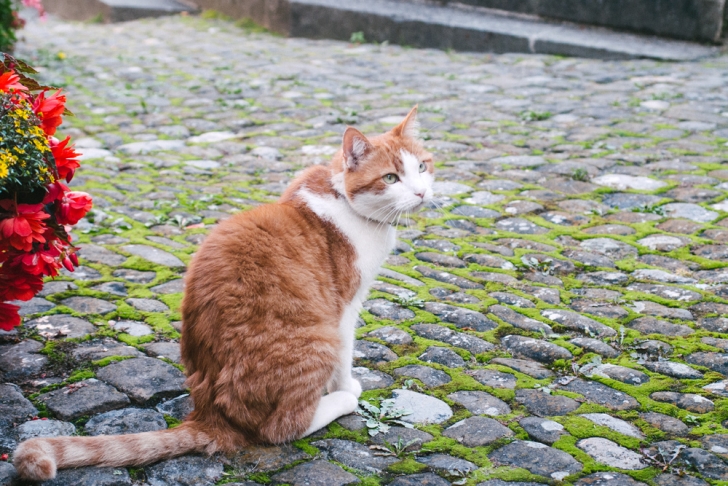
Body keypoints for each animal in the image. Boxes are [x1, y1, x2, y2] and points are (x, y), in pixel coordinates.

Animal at [12, 104, 432, 480]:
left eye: (422, 168)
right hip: (318, 341)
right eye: (391, 178)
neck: (345, 201)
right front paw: (346, 385)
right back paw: (340, 401)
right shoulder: (346, 308)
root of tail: (210, 414)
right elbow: (345, 360)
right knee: (280, 428)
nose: (422, 194)